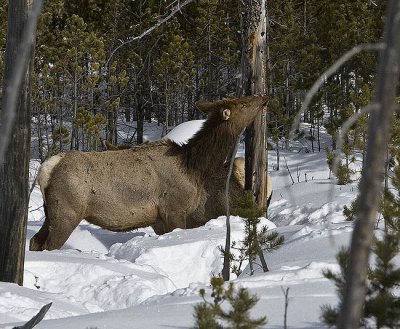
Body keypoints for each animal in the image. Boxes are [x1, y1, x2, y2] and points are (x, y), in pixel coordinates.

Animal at [30, 96, 266, 250]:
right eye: (243, 104)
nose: (263, 98)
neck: (193, 168)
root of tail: (46, 169)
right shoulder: (174, 209)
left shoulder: (158, 219)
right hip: (67, 211)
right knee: (49, 245)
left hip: (51, 212)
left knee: (34, 241)